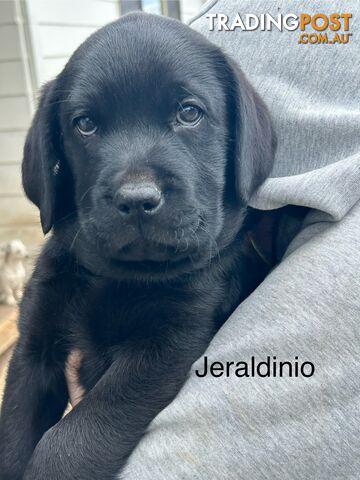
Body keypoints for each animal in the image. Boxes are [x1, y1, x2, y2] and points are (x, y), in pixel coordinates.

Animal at [0, 12, 278, 480]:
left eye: (189, 113)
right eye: (85, 124)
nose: (136, 200)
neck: (116, 277)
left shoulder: (167, 346)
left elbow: (71, 440)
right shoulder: (32, 347)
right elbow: (15, 436)